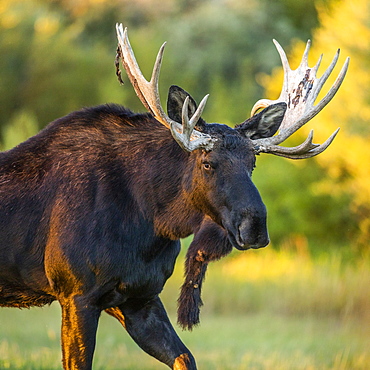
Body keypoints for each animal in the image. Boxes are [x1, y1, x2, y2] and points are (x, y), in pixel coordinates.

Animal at [0, 23, 348, 370]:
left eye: (253, 163)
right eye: (207, 163)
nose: (254, 227)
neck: (152, 222)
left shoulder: (139, 297)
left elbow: (184, 357)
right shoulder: (76, 294)